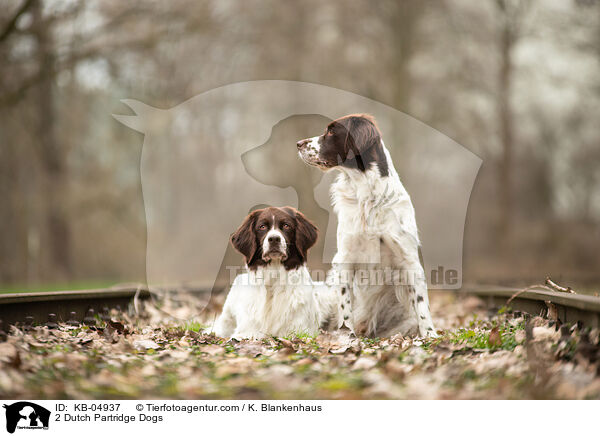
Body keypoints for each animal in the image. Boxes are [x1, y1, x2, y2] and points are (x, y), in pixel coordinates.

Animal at [298, 115, 438, 338]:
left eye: (331, 131)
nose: (298, 144)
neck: (367, 196)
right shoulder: (345, 258)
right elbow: (346, 305)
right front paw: (348, 334)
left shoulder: (409, 260)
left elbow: (421, 304)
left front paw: (430, 335)